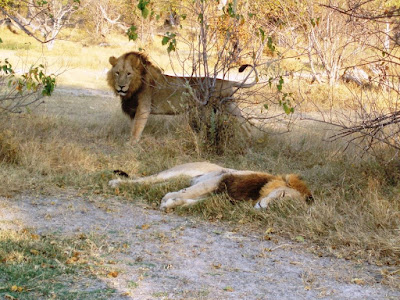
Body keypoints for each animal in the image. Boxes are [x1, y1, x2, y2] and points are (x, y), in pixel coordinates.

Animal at [106, 51, 256, 142]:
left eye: (128, 74)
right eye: (117, 73)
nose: (121, 87)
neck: (133, 87)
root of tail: (227, 81)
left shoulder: (143, 108)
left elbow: (137, 128)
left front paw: (132, 144)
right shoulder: (133, 110)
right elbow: (133, 127)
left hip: (225, 105)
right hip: (230, 105)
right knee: (246, 124)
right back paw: (248, 142)